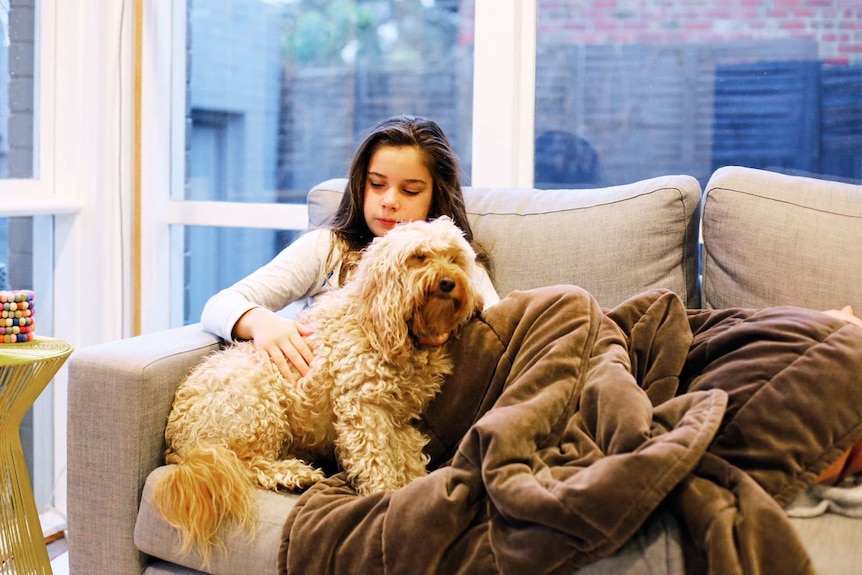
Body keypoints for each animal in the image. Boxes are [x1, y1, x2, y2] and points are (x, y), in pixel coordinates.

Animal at [154, 217, 486, 564]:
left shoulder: (396, 418)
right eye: (419, 257)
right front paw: (384, 495)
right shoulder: (363, 410)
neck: (376, 322)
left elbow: (407, 457)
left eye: (454, 259)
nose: (448, 282)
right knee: (247, 465)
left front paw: (413, 487)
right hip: (259, 404)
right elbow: (376, 461)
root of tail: (180, 445)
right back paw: (295, 474)